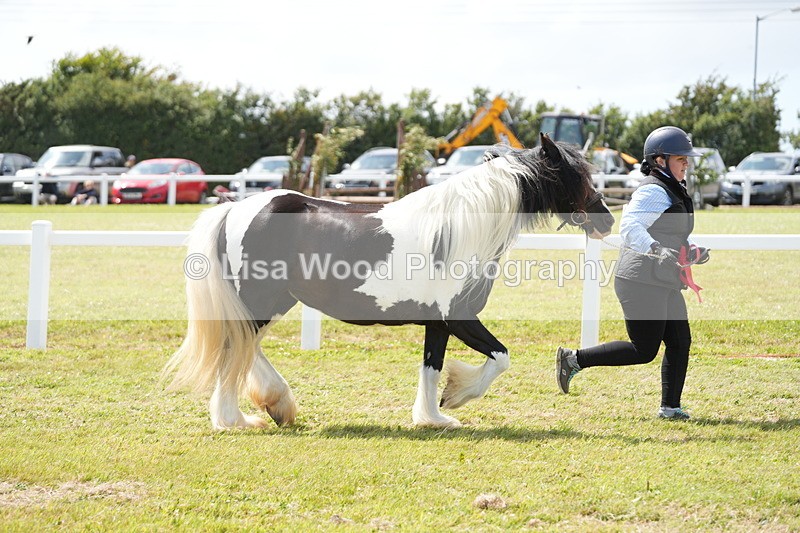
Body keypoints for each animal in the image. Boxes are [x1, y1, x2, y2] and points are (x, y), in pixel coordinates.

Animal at [164, 134, 615, 430]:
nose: (606, 219)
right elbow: (501, 357)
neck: (458, 230)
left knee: (246, 347)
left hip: (273, 301)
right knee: (234, 349)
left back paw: (277, 405)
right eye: (576, 176)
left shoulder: (438, 323)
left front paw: (434, 417)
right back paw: (236, 420)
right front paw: (457, 395)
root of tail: (235, 208)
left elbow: (431, 367)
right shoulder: (459, 318)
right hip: (262, 299)